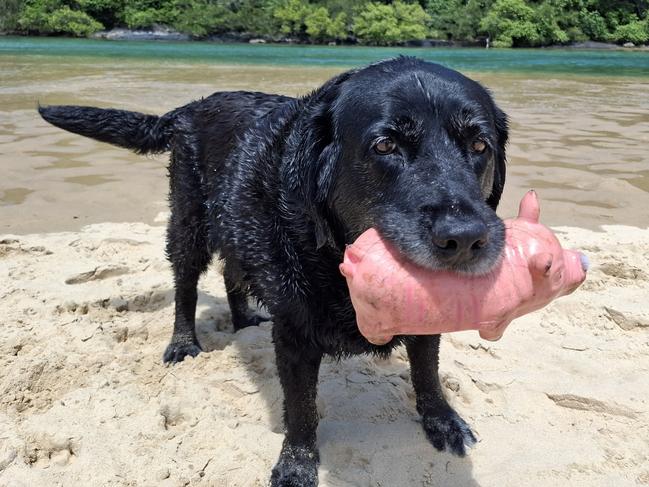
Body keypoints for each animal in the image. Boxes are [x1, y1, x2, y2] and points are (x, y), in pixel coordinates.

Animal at [39, 58, 506, 487]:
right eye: (385, 145)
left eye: (480, 145)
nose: (464, 238)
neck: (333, 256)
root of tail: (192, 106)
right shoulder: (294, 333)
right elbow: (301, 409)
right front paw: (297, 464)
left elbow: (426, 371)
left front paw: (443, 420)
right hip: (189, 226)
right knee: (186, 284)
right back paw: (183, 342)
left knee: (232, 272)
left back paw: (244, 318)